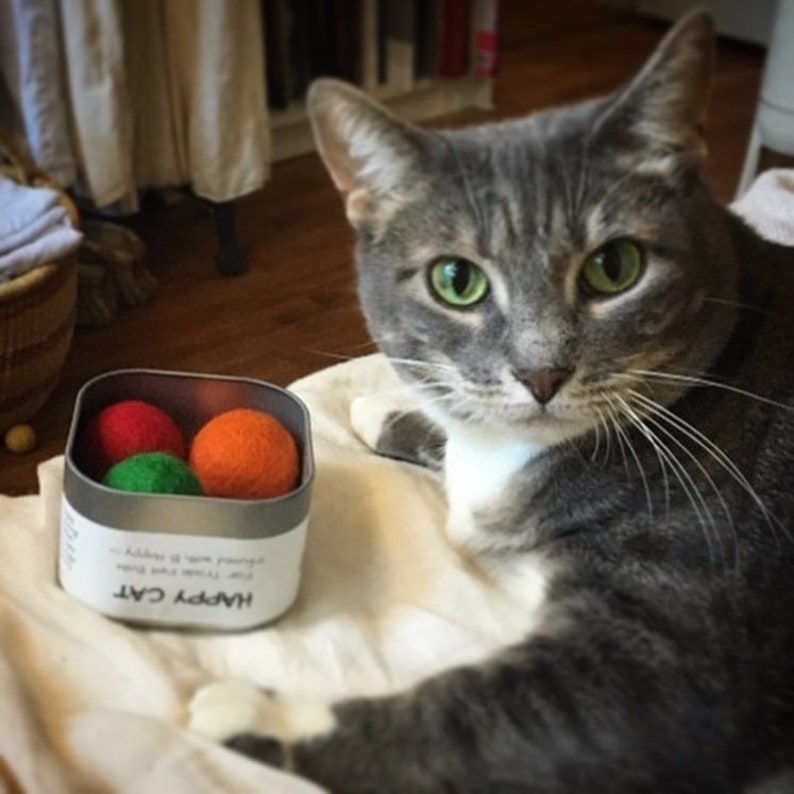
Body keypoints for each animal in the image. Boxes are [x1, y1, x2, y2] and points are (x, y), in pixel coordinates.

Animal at [189, 12, 792, 792]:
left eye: (615, 266)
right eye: (456, 280)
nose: (542, 373)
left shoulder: (676, 655)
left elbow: (473, 719)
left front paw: (250, 708)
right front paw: (381, 408)